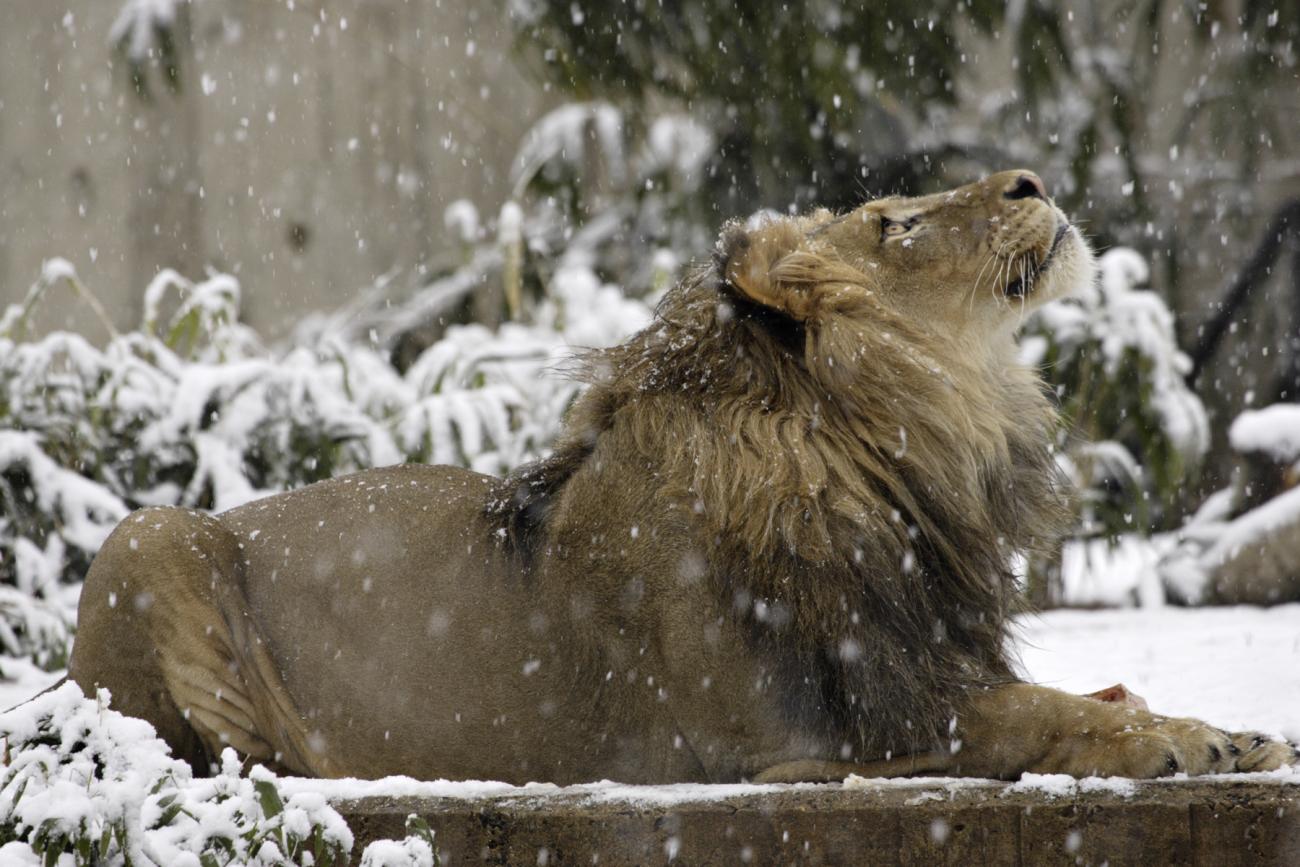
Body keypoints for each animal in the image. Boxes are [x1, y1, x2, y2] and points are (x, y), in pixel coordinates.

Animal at [65, 172, 1294, 785]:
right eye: (893, 221)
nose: (1032, 177)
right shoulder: (793, 740)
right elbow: (1034, 719)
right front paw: (1181, 741)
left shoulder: (915, 660)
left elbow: (1075, 695)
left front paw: (1228, 733)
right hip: (152, 534)